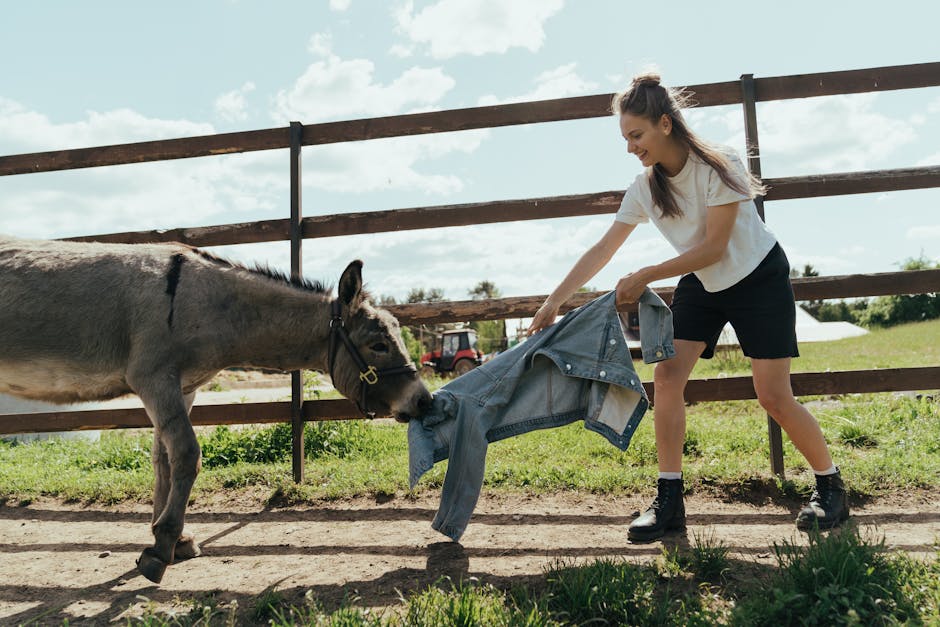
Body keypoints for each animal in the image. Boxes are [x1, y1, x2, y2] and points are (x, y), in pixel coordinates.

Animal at [0, 235, 432, 583]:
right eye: (378, 344)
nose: (424, 400)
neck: (206, 304)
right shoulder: (154, 379)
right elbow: (187, 455)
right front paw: (160, 548)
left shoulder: (183, 388)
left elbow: (163, 460)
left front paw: (174, 539)